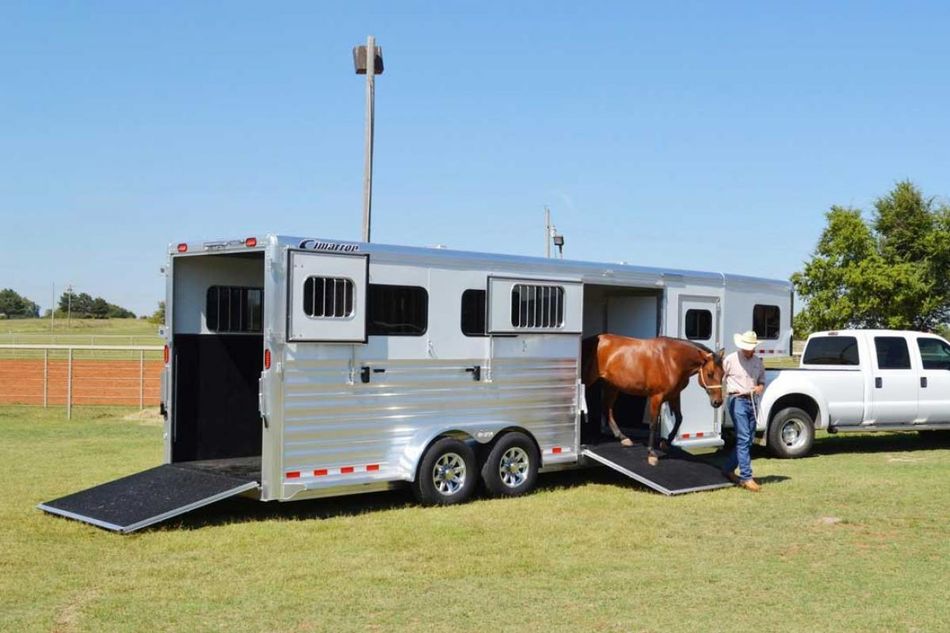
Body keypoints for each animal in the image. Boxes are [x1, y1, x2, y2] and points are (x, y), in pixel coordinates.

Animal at [582, 334, 725, 466]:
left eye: (723, 373)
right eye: (710, 374)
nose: (717, 402)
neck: (671, 360)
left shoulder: (674, 395)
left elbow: (679, 418)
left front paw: (666, 442)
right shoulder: (656, 397)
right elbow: (653, 424)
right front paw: (651, 454)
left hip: (611, 385)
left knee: (607, 409)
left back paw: (623, 437)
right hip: (590, 381)